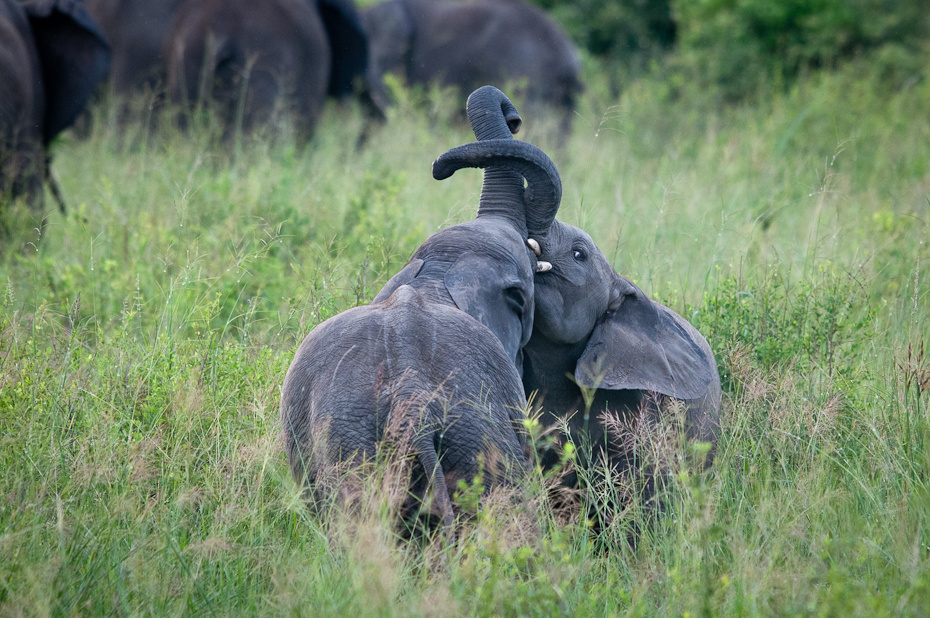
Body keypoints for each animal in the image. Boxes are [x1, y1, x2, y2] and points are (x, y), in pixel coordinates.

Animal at [280, 88, 560, 536]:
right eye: (522, 298)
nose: (515, 119)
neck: (437, 273)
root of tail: (411, 403)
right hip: (479, 439)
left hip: (350, 448)